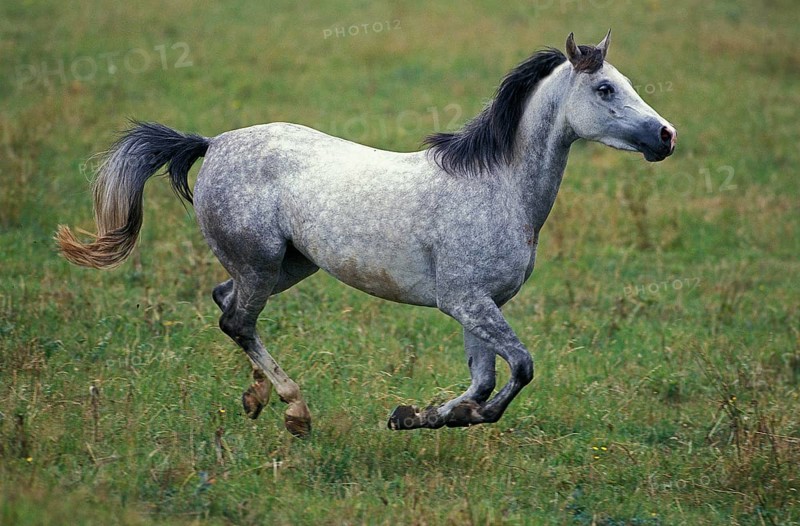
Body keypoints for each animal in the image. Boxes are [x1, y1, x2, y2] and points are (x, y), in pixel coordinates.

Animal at [57, 32, 676, 437]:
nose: (666, 136)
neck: (497, 187)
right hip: (262, 264)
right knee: (237, 320)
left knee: (224, 302)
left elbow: (482, 379)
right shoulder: (465, 300)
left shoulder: (481, 305)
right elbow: (518, 368)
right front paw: (433, 416)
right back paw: (295, 413)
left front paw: (420, 416)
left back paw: (256, 399)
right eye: (604, 89)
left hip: (287, 265)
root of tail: (212, 144)